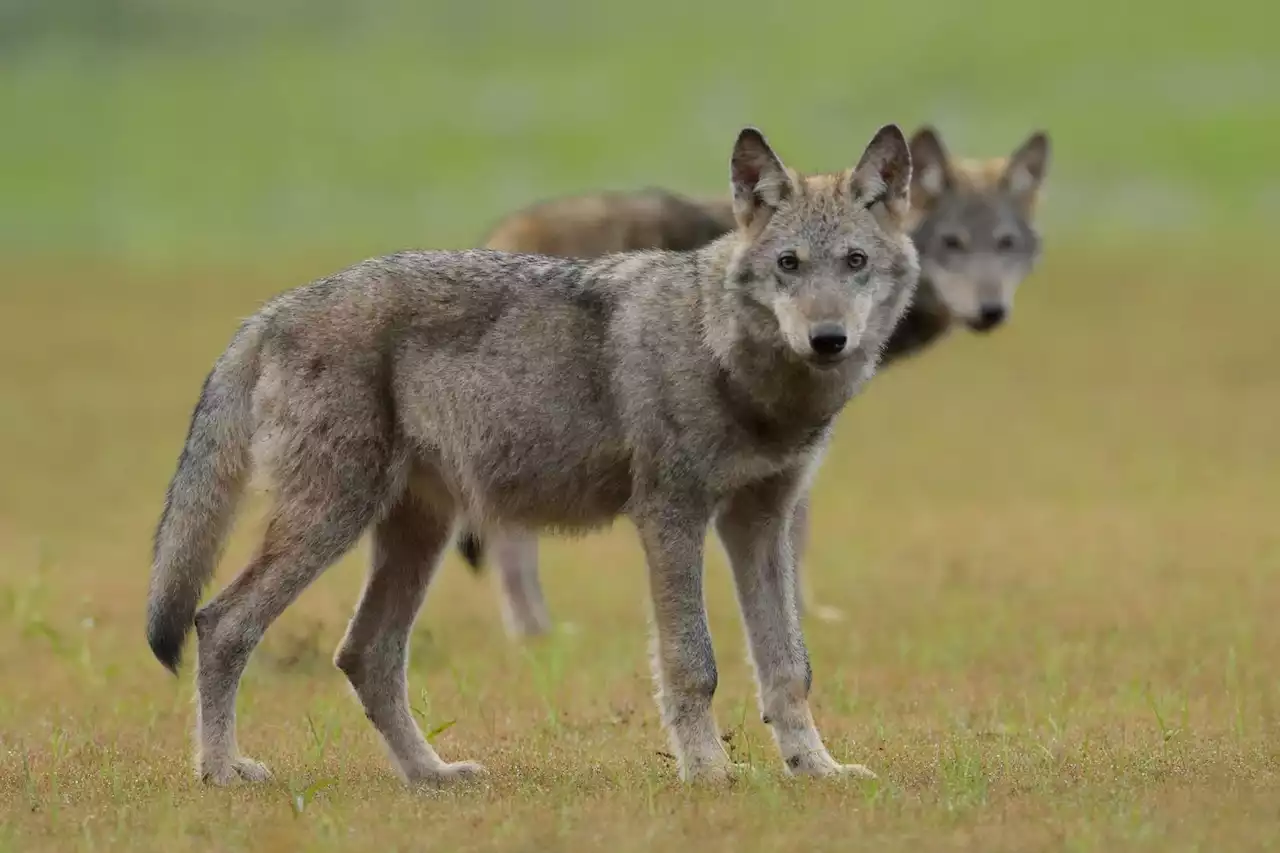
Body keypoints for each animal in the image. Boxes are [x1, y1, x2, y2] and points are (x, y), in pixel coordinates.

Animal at [147, 122, 921, 778]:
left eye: (854, 262)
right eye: (790, 264)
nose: (828, 339)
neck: (732, 362)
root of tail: (270, 312)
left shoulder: (760, 524)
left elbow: (789, 666)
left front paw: (816, 770)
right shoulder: (671, 518)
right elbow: (692, 663)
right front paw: (708, 773)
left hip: (414, 536)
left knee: (365, 656)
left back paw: (432, 777)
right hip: (333, 521)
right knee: (220, 623)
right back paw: (222, 772)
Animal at [460, 124, 1049, 630]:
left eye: (1004, 244)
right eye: (952, 243)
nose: (991, 311)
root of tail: (500, 230)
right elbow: (798, 533)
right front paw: (808, 613)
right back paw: (537, 634)